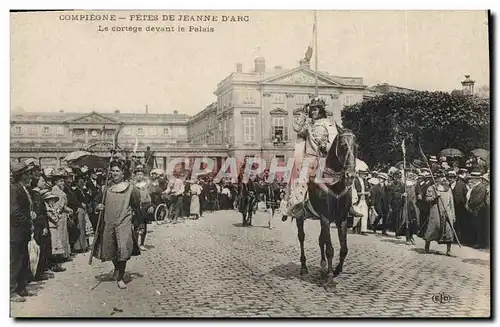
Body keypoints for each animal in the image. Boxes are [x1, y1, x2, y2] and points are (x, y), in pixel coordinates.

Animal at [294, 123, 358, 292]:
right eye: (343, 145)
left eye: (356, 146)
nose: (350, 175)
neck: (334, 183)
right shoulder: (325, 217)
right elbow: (330, 249)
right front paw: (330, 279)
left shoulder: (341, 219)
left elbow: (343, 249)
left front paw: (335, 271)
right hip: (301, 217)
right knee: (302, 237)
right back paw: (304, 267)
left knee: (321, 239)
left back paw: (322, 269)